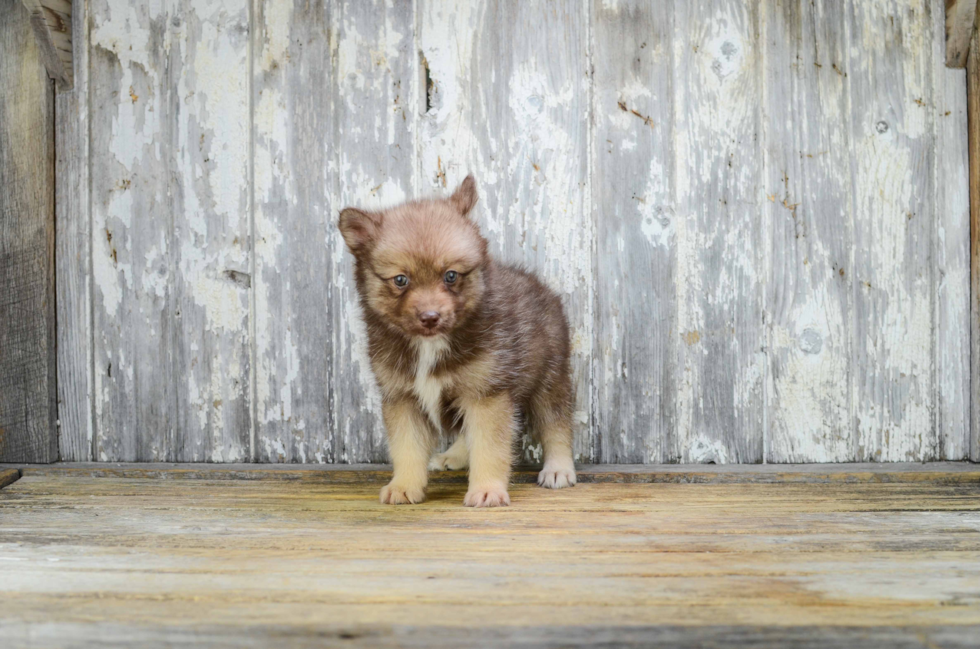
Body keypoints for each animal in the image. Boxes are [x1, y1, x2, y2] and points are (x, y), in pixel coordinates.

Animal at [340, 173, 580, 506]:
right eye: (401, 280)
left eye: (451, 276)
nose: (430, 317)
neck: (430, 345)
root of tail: (540, 285)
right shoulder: (403, 398)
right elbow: (407, 448)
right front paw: (404, 485)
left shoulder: (486, 393)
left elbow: (490, 448)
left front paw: (487, 489)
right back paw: (453, 455)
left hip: (549, 377)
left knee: (556, 424)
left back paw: (559, 469)